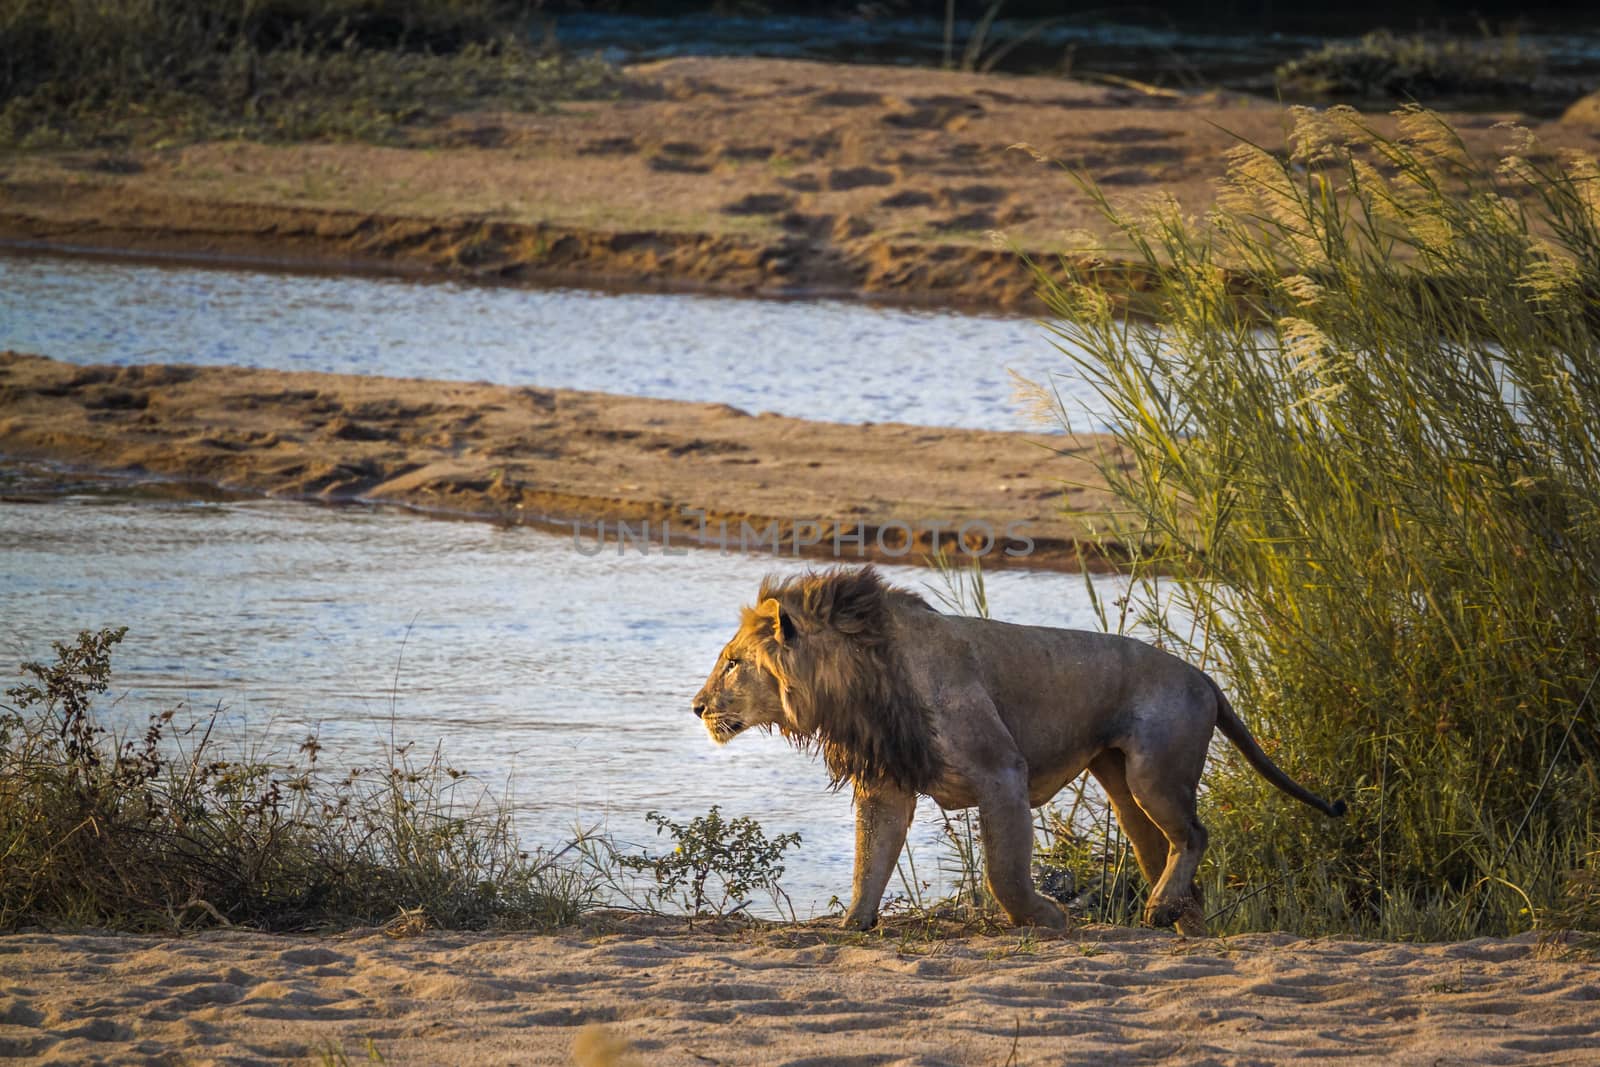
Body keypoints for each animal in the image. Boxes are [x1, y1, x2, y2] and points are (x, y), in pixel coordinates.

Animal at [694, 566, 1344, 934]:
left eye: (733, 663)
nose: (697, 707)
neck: (856, 680)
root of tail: (1204, 676)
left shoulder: (1002, 773)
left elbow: (1004, 870)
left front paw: (1046, 920)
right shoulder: (887, 783)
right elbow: (869, 861)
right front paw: (851, 926)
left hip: (1155, 772)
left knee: (1195, 836)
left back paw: (1163, 911)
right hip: (1121, 781)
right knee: (1162, 850)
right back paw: (1182, 924)